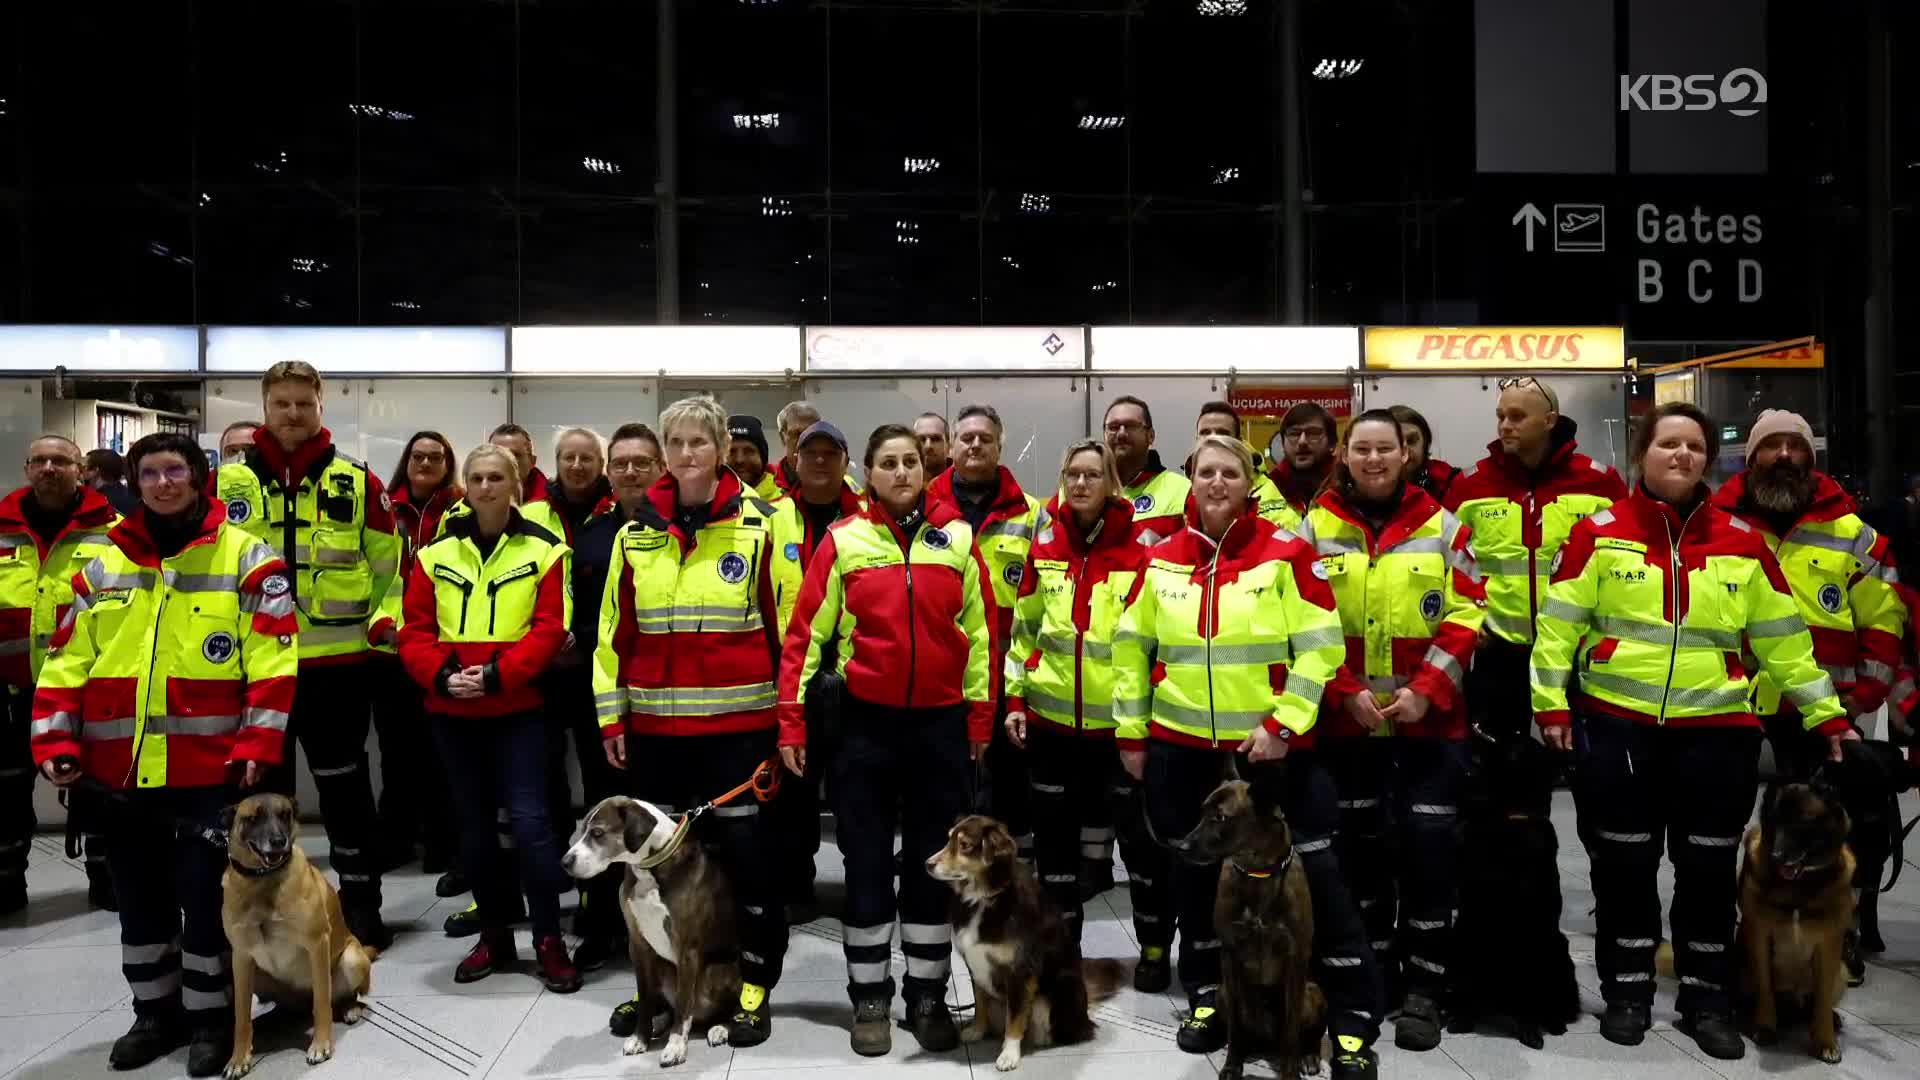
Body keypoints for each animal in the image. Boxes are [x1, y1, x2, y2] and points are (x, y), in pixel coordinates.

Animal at [219, 791, 376, 1076]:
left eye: (285, 814)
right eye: (253, 818)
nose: (278, 842)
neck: (262, 883)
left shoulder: (317, 944)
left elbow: (322, 1003)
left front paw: (321, 1045)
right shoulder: (241, 958)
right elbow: (241, 1017)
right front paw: (238, 1057)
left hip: (351, 959)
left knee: (342, 998)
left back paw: (350, 1008)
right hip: (254, 974)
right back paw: (271, 1020)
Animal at [560, 795, 737, 1060]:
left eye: (598, 833)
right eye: (581, 831)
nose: (565, 862)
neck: (649, 867)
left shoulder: (687, 949)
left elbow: (684, 1002)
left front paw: (676, 1045)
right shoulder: (638, 945)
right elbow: (645, 999)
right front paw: (640, 1038)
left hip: (717, 971)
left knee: (716, 1008)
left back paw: (720, 1028)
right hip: (662, 966)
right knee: (667, 1006)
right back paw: (660, 1022)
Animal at [917, 810, 1121, 1060]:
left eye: (964, 845)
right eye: (949, 840)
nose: (927, 864)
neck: (984, 898)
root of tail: (1084, 1013)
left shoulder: (1020, 971)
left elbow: (1015, 1017)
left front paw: (1009, 1054)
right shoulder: (975, 965)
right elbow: (980, 1003)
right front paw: (977, 1030)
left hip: (1057, 991)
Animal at [1167, 772, 1320, 1076]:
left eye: (1221, 817)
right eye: (1202, 812)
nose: (1180, 847)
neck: (1257, 872)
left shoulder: (1296, 958)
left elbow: (1291, 1032)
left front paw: (1289, 1072)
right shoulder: (1230, 955)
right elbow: (1236, 1028)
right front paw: (1232, 1065)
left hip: (1312, 992)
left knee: (1305, 1033)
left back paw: (1308, 1055)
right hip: (1223, 993)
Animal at [1743, 772, 1858, 1060]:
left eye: (1802, 821)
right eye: (1775, 820)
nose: (1776, 856)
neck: (1800, 885)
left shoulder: (1829, 946)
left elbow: (1822, 1001)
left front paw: (1825, 1041)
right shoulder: (1759, 936)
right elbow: (1765, 989)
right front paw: (1764, 1027)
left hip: (1842, 970)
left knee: (1817, 1004)